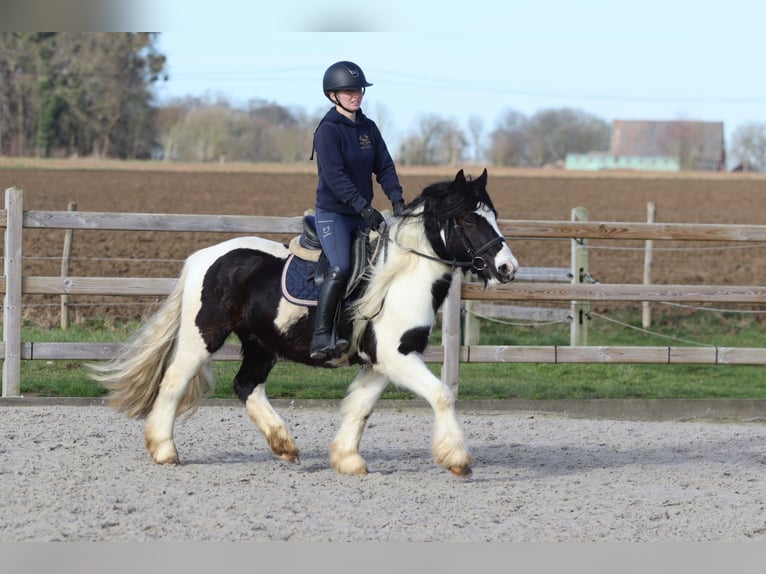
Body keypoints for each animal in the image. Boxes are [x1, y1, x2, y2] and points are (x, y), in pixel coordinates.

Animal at [89, 168, 518, 476]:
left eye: (495, 217)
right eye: (468, 219)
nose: (507, 268)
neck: (400, 277)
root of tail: (202, 258)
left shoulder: (382, 360)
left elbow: (361, 407)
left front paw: (348, 459)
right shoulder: (396, 357)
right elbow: (442, 395)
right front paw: (458, 459)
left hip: (261, 344)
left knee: (246, 385)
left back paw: (285, 446)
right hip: (204, 335)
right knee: (175, 381)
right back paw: (164, 450)